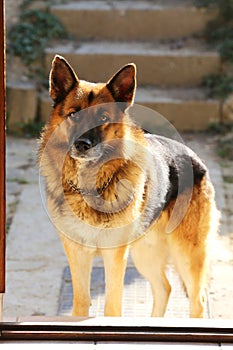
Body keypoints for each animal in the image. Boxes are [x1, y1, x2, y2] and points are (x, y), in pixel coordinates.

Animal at [38, 54, 218, 318]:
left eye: (103, 118)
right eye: (73, 115)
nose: (82, 145)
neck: (90, 187)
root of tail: (194, 156)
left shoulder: (114, 257)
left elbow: (112, 307)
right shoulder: (77, 255)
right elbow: (80, 304)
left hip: (186, 254)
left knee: (198, 300)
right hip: (145, 253)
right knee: (164, 288)